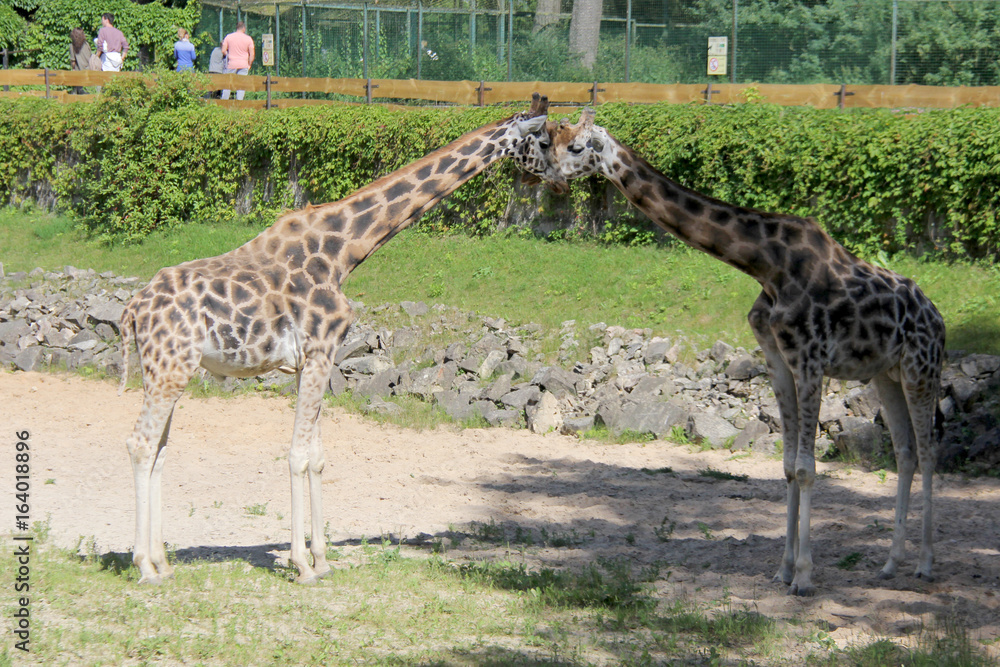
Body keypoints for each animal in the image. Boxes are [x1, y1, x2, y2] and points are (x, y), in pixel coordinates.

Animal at [117, 95, 564, 585]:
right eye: (545, 140)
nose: (562, 182)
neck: (343, 252)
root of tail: (133, 309)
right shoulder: (319, 352)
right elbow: (297, 455)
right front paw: (301, 565)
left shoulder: (309, 362)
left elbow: (316, 456)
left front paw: (323, 559)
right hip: (169, 368)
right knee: (140, 444)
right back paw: (144, 566)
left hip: (169, 369)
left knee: (159, 450)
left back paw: (163, 561)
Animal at [535, 110, 945, 596]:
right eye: (550, 140)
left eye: (577, 147)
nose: (547, 179)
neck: (767, 265)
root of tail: (938, 317)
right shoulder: (778, 360)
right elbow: (787, 466)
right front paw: (782, 569)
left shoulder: (811, 360)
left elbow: (807, 468)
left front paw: (804, 576)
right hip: (887, 373)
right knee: (905, 452)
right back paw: (890, 564)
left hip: (922, 368)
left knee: (929, 451)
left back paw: (925, 565)